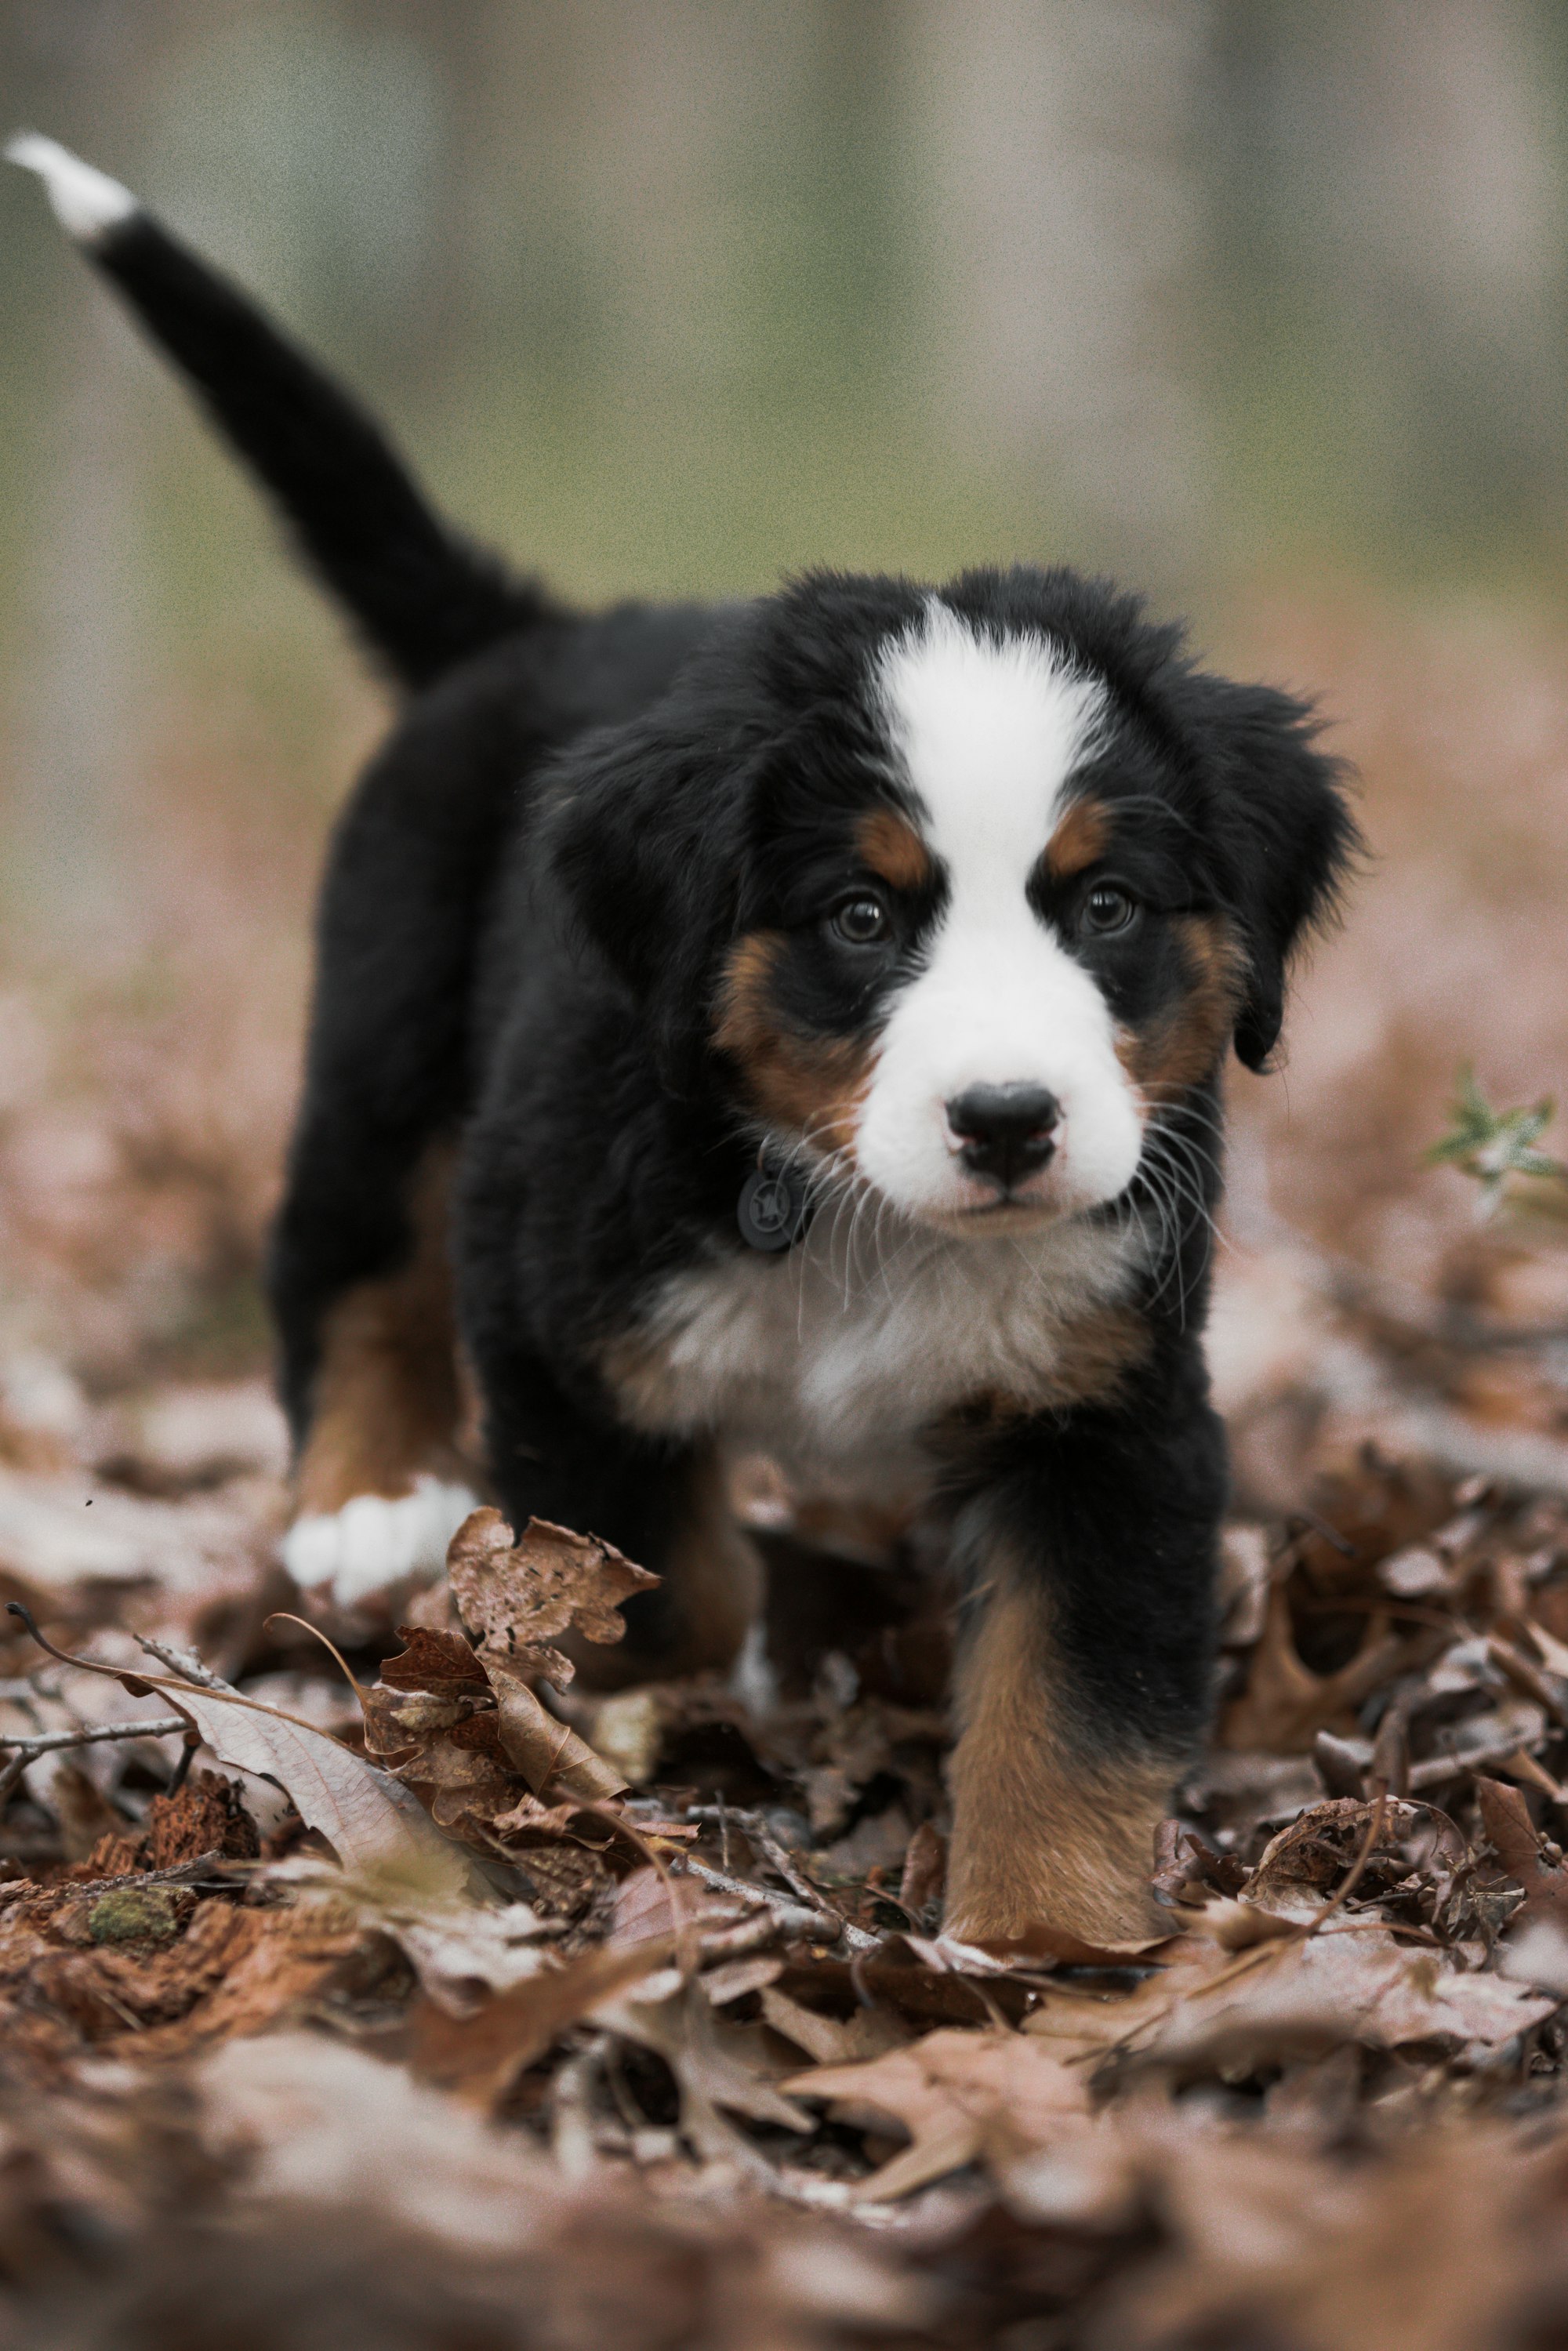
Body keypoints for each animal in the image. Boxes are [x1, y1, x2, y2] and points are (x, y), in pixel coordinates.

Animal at [12, 137, 1354, 1937]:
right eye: (860, 918)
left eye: (1110, 905)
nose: (1009, 1120)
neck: (862, 1223)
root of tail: (529, 629)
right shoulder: (553, 1296)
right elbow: (655, 1574)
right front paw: (700, 1681)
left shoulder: (1113, 1398)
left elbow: (1069, 1693)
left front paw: (1043, 1943)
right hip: (380, 1039)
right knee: (345, 1264)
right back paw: (371, 1503)